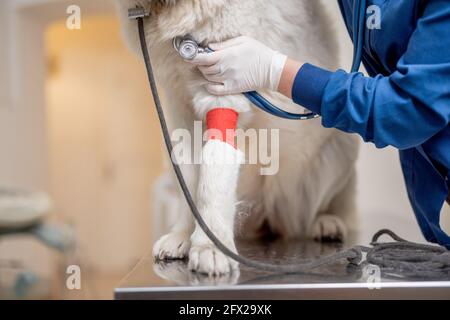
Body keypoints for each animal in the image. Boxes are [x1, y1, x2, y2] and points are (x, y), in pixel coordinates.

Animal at [116, 0, 358, 276]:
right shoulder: (180, 109)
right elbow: (189, 179)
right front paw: (184, 236)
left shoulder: (223, 85)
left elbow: (212, 175)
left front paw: (211, 246)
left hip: (341, 140)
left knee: (321, 211)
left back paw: (326, 222)